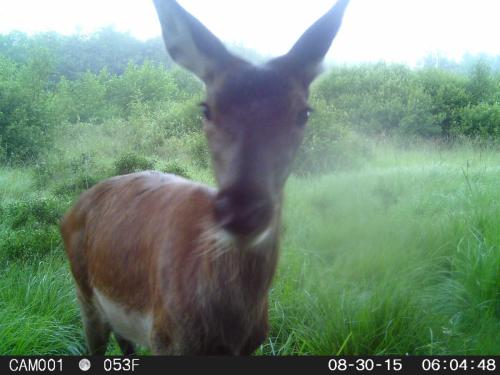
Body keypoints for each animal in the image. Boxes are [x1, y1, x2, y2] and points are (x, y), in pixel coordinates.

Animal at [60, 0, 350, 356]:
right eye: (206, 108)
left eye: (303, 112)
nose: (242, 210)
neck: (227, 332)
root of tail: (72, 209)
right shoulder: (165, 339)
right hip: (84, 294)